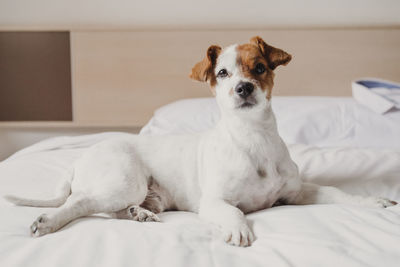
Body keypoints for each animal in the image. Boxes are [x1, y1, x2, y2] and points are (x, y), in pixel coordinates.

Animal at [6, 35, 396, 247]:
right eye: (222, 73)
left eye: (260, 68)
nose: (243, 88)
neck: (254, 139)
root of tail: (79, 158)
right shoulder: (215, 202)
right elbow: (234, 212)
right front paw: (238, 230)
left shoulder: (298, 193)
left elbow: (338, 193)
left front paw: (372, 201)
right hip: (124, 181)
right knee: (81, 203)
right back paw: (50, 221)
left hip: (142, 194)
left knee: (107, 209)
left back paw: (139, 214)